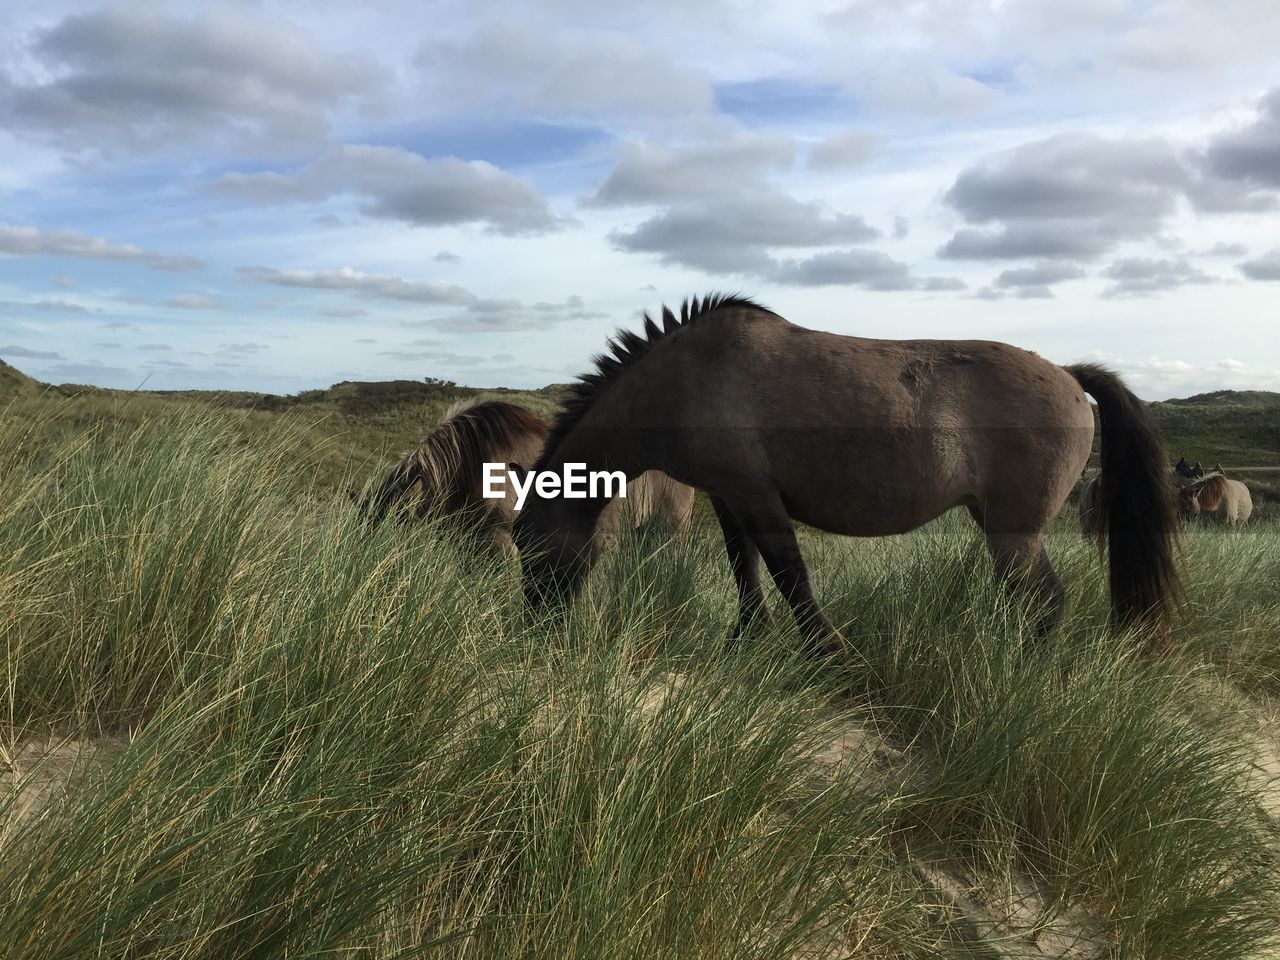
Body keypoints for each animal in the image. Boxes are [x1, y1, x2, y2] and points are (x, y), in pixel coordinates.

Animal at [506, 293, 1177, 655]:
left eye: (528, 542)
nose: (535, 631)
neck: (684, 378)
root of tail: (1068, 375)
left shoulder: (756, 495)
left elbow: (789, 575)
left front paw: (827, 654)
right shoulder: (728, 497)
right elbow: (747, 572)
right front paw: (745, 641)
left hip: (1015, 533)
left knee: (1045, 603)